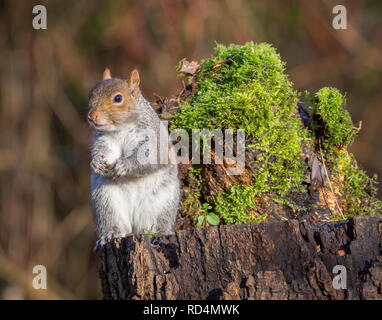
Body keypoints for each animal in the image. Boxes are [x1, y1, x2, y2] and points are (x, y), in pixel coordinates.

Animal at [88, 68, 181, 250]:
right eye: (91, 94)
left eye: (118, 98)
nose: (92, 116)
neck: (120, 128)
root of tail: (135, 226)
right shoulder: (104, 140)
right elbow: (102, 152)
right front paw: (96, 162)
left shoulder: (152, 137)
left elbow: (150, 157)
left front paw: (123, 166)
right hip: (106, 202)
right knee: (114, 223)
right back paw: (110, 235)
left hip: (163, 202)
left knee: (159, 222)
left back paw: (161, 232)